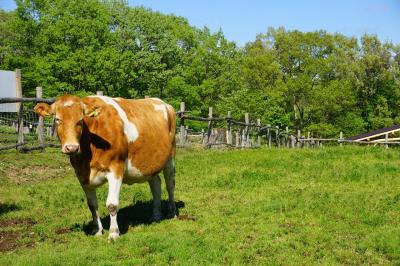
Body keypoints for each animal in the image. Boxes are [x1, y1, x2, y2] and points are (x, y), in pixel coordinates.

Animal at [34, 94, 177, 240]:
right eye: (57, 119)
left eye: (80, 120)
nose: (71, 147)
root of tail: (163, 103)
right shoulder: (82, 175)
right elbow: (92, 205)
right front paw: (97, 230)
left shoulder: (116, 169)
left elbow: (112, 204)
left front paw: (113, 233)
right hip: (149, 164)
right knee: (156, 185)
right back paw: (156, 215)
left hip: (170, 156)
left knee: (170, 184)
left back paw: (172, 213)